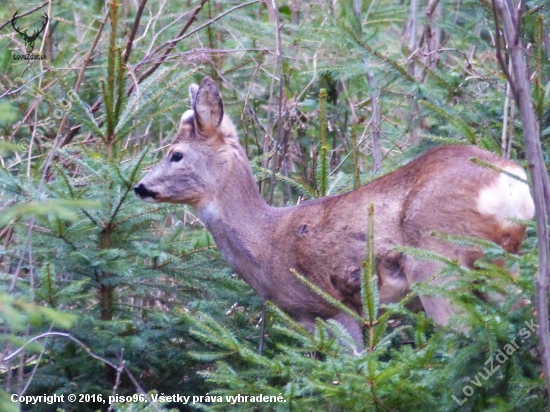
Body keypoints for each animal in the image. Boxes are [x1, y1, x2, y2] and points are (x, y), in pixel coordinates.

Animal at [136, 77, 536, 342]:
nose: (140, 187)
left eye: (175, 154)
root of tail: (512, 181)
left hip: (438, 261)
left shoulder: (330, 309)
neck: (268, 243)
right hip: (501, 261)